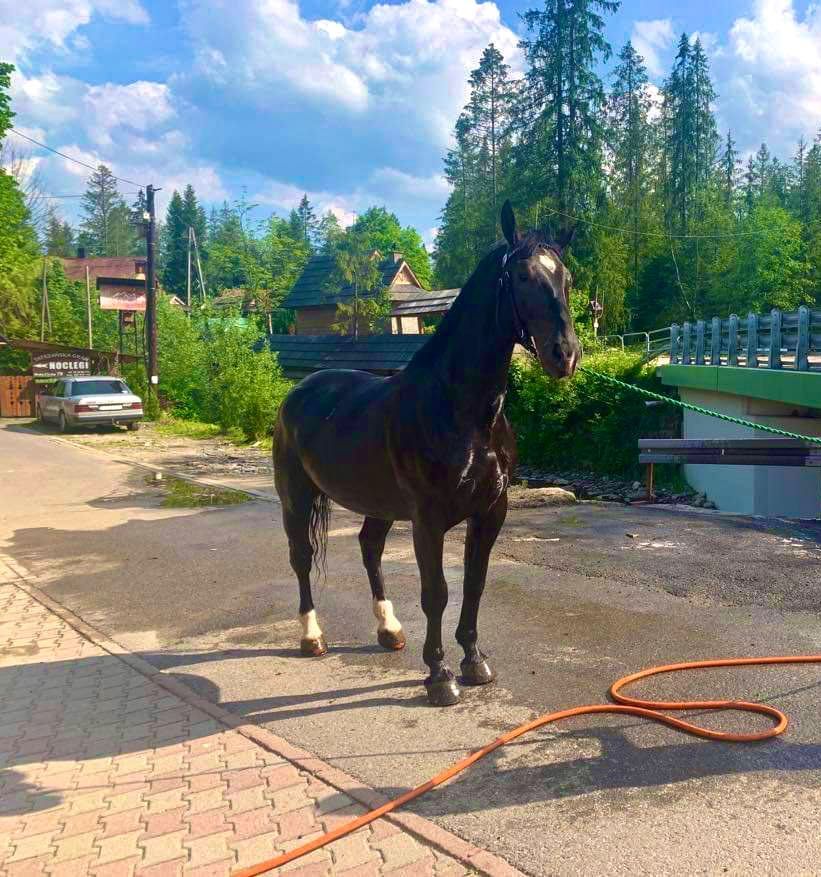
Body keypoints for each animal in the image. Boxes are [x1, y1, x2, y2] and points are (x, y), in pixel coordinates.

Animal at [272, 204, 580, 704]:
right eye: (521, 276)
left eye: (566, 278)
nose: (565, 356)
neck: (463, 412)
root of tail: (300, 390)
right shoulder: (428, 520)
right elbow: (436, 593)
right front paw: (439, 676)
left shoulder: (490, 512)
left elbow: (474, 584)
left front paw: (474, 662)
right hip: (295, 499)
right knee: (301, 557)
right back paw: (312, 637)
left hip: (377, 504)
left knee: (369, 548)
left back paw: (389, 630)